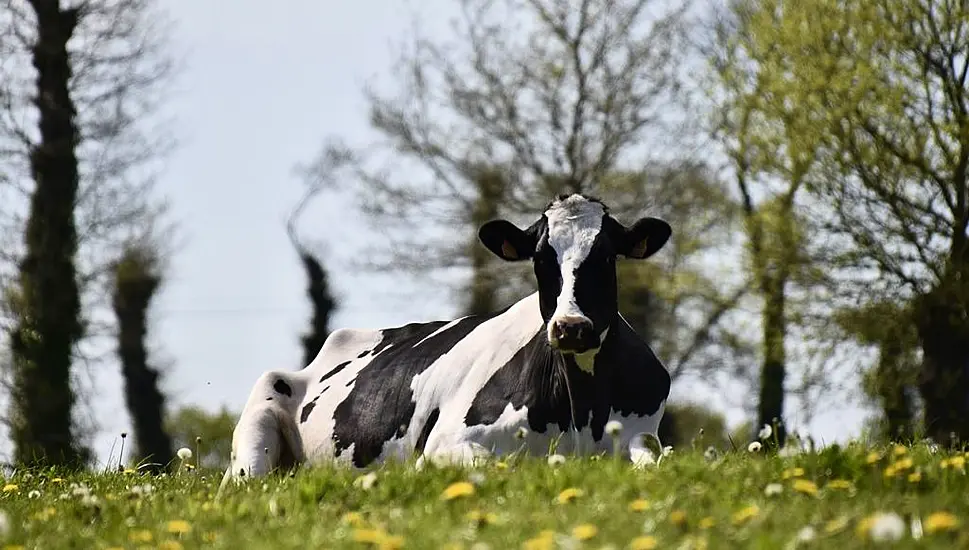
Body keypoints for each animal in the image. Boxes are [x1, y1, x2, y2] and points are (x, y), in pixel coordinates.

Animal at [222, 193, 668, 484]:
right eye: (541, 259)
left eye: (606, 255)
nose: (571, 327)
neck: (581, 408)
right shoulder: (445, 445)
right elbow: (491, 466)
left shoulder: (643, 433)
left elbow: (654, 458)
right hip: (256, 430)